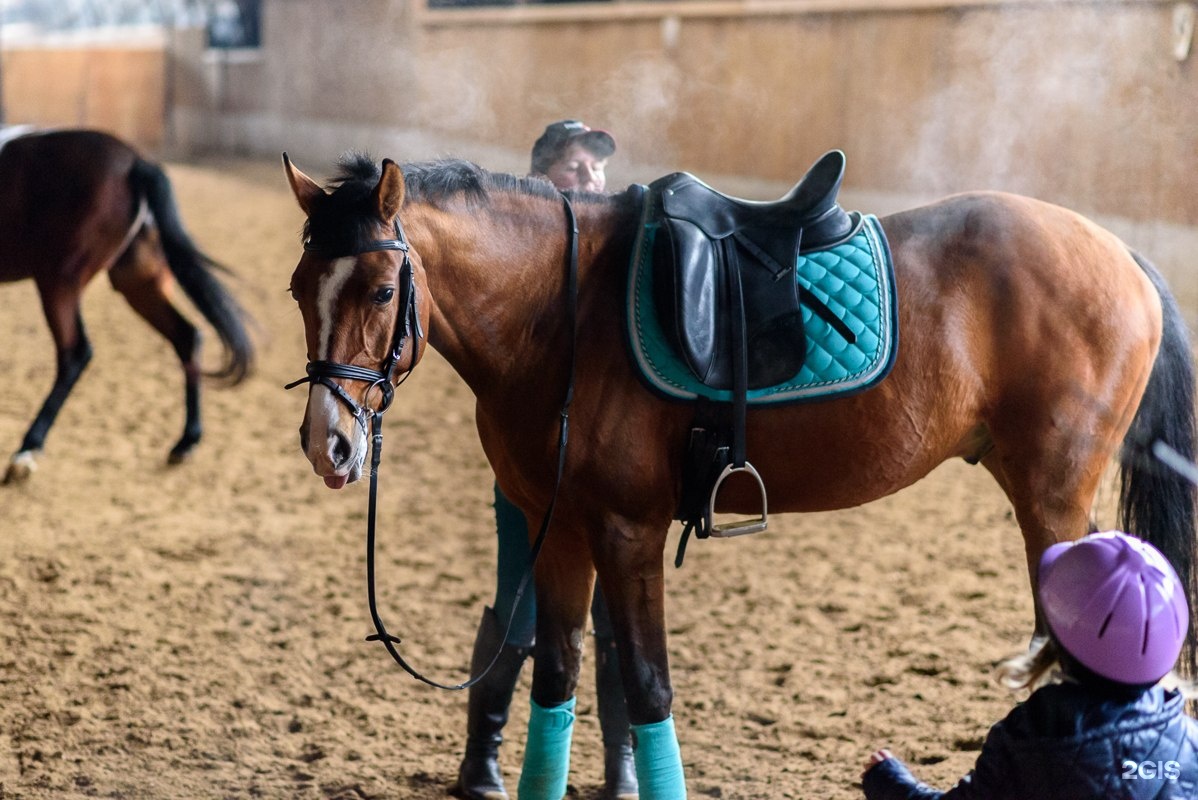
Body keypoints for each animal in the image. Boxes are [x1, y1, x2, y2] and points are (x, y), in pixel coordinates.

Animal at [0, 128, 252, 483]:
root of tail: (136, 163)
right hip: (135, 280)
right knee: (186, 335)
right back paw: (186, 441)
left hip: (59, 278)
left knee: (75, 352)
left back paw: (26, 451)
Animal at [282, 151, 1198, 795]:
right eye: (298, 288)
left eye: (379, 289)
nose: (330, 445)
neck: (562, 314)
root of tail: (1121, 253)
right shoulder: (558, 529)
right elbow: (557, 679)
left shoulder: (628, 532)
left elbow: (647, 689)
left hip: (1054, 498)